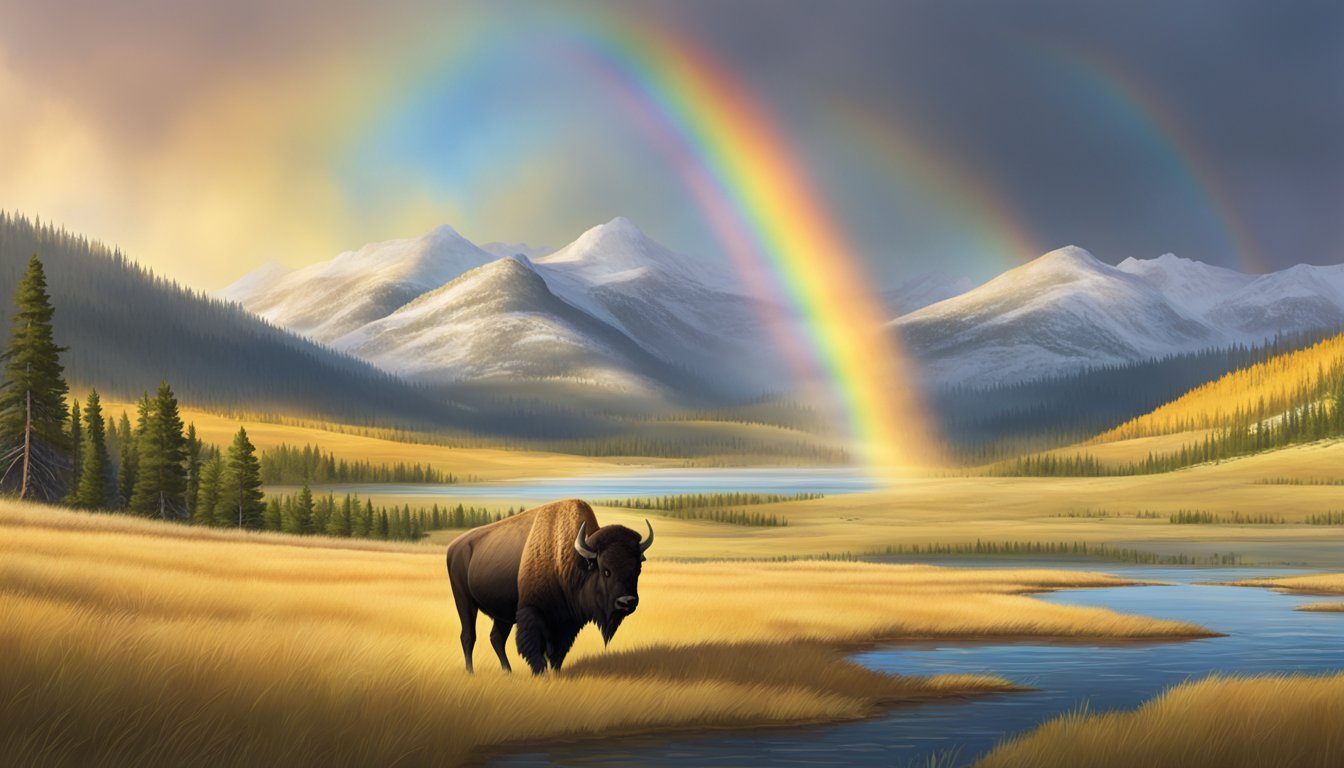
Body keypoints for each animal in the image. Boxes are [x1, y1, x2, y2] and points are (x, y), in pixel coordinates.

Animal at [446, 497, 650, 672]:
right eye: (605, 570)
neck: (572, 558)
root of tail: (453, 546)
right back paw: (471, 672)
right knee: (468, 636)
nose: (627, 601)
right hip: (463, 601)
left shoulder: (566, 620)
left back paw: (507, 671)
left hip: (503, 614)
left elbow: (557, 652)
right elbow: (536, 650)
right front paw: (540, 673)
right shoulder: (533, 613)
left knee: (496, 638)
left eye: (637, 570)